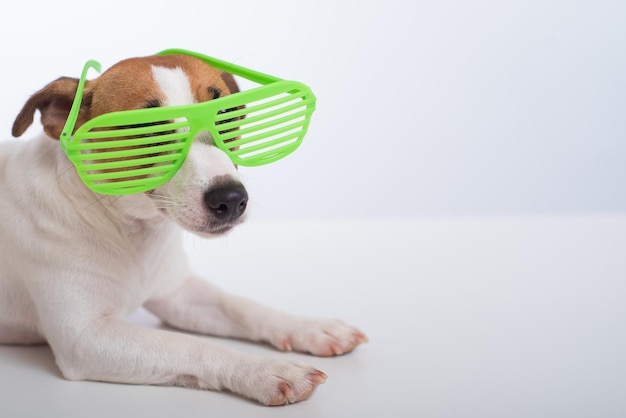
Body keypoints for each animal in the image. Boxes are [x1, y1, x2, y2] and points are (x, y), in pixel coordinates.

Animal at [0, 51, 366, 404]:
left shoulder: (178, 293)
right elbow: (193, 347)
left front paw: (312, 327)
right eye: (147, 129)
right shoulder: (86, 338)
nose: (231, 199)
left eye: (227, 114)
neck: (125, 229)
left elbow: (241, 306)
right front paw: (266, 370)